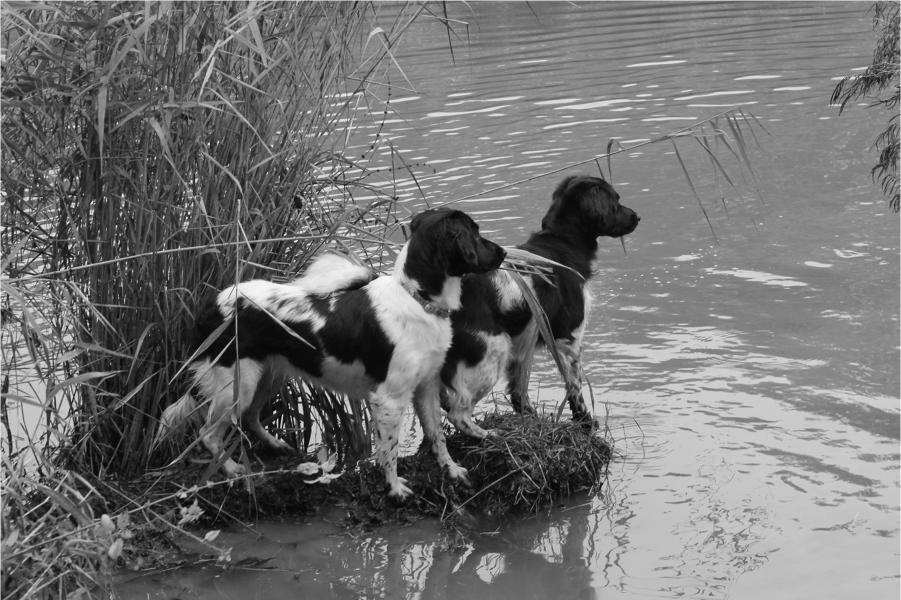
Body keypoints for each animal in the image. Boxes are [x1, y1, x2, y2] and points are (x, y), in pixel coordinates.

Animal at [157, 209, 502, 500]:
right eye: (474, 234)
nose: (503, 252)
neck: (417, 300)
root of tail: (211, 306)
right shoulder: (389, 399)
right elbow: (388, 449)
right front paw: (394, 489)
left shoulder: (426, 387)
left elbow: (437, 437)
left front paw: (452, 471)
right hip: (237, 384)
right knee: (208, 433)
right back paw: (232, 471)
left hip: (268, 375)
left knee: (252, 416)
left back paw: (277, 446)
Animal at [416, 175, 640, 478]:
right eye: (615, 199)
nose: (637, 217)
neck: (562, 245)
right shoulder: (568, 338)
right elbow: (575, 388)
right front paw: (585, 424)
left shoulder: (525, 344)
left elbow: (519, 393)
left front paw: (533, 421)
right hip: (492, 349)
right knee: (457, 413)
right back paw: (486, 435)